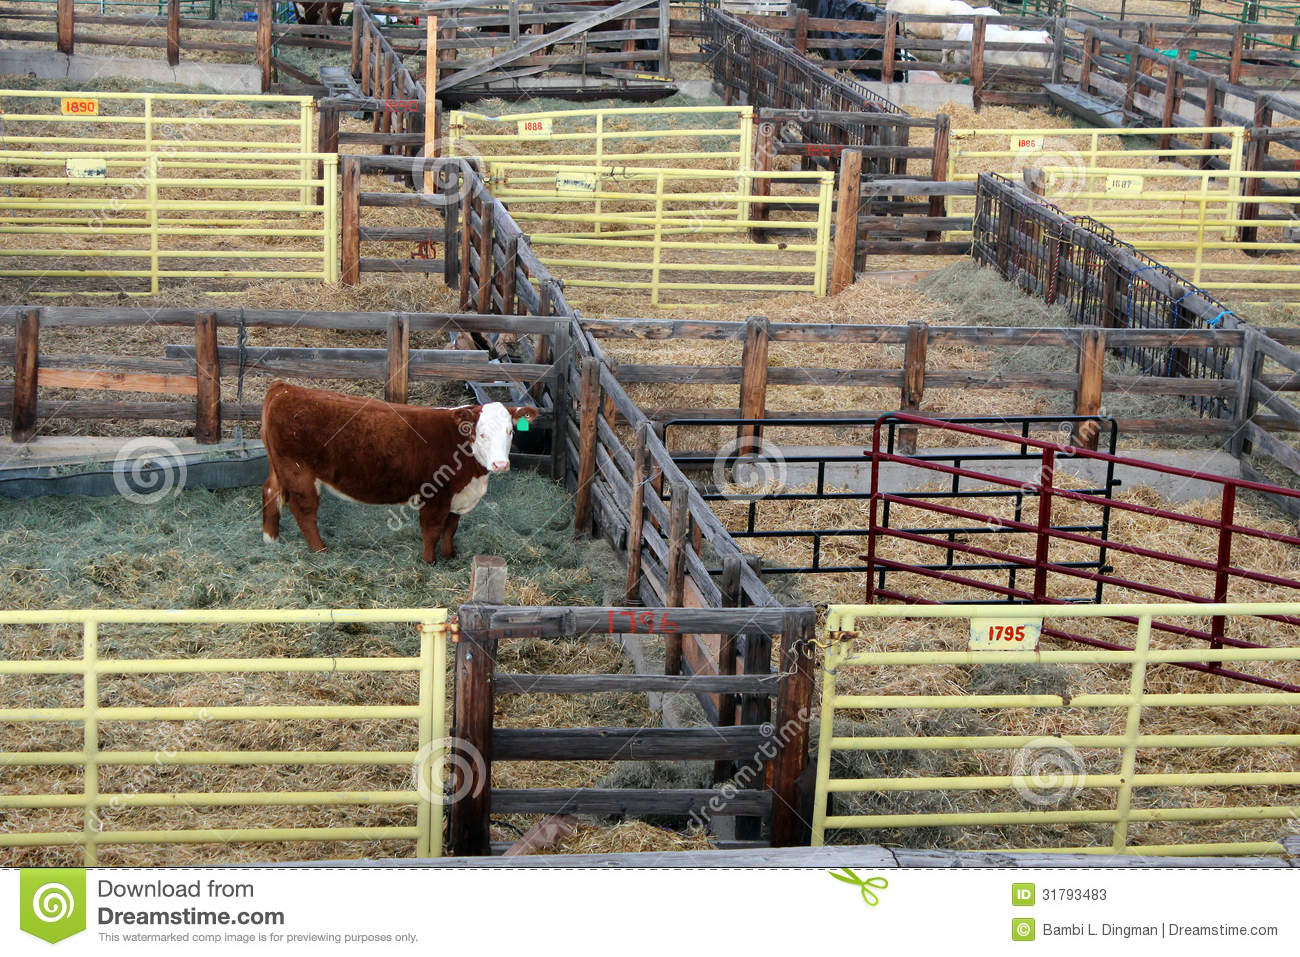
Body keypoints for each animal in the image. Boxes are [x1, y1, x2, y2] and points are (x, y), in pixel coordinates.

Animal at [261, 379, 535, 561]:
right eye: (482, 434)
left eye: (510, 431)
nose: (500, 464)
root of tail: (284, 388)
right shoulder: (435, 496)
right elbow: (432, 530)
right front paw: (429, 562)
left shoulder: (457, 496)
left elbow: (451, 528)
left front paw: (449, 556)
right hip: (298, 473)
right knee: (304, 511)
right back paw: (320, 550)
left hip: (279, 468)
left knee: (270, 492)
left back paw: (270, 538)